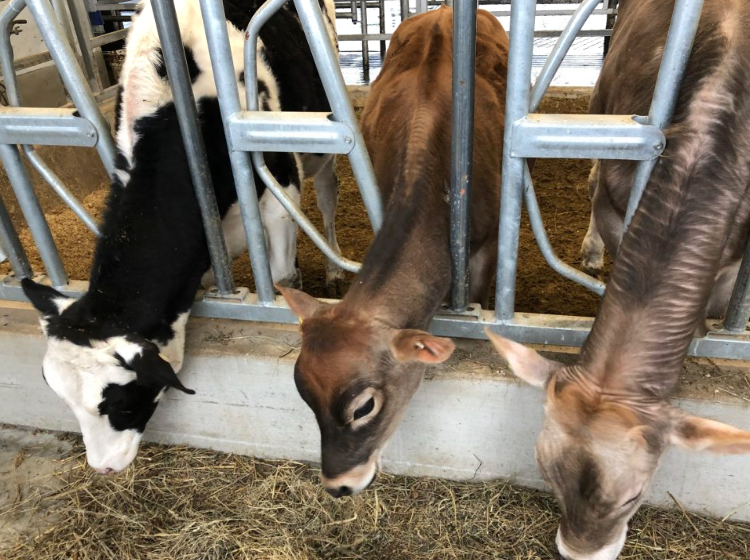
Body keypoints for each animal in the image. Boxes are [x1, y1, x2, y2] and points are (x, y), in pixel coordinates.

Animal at [22, 0, 340, 474]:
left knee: (328, 198)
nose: (102, 467)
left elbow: (283, 276)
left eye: (120, 402)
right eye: (62, 397)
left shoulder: (280, 192)